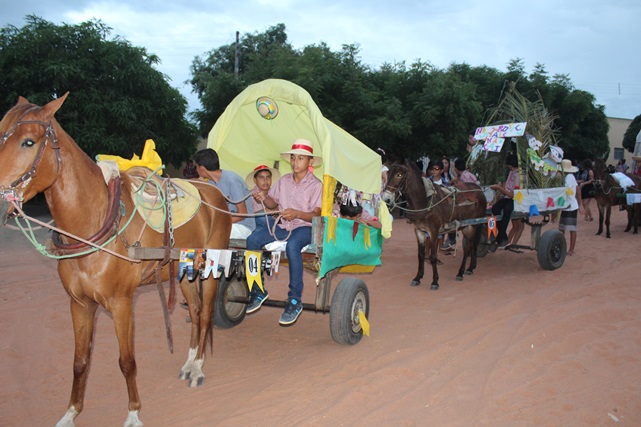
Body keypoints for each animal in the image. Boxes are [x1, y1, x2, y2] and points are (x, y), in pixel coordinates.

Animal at [0, 94, 230, 427]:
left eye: (28, 141)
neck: (94, 223)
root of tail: (214, 192)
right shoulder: (79, 303)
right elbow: (80, 361)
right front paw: (71, 413)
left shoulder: (121, 303)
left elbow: (126, 361)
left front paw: (133, 413)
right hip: (183, 271)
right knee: (198, 312)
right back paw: (189, 364)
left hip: (211, 267)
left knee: (207, 312)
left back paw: (198, 367)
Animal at [382, 160, 482, 290]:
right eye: (387, 174)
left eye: (399, 175)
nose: (386, 199)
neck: (425, 202)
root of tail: (479, 189)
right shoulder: (419, 231)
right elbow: (420, 255)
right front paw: (418, 278)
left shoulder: (434, 231)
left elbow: (433, 257)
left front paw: (435, 281)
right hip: (467, 226)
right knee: (471, 245)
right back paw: (470, 267)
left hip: (473, 225)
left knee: (469, 247)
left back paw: (461, 272)